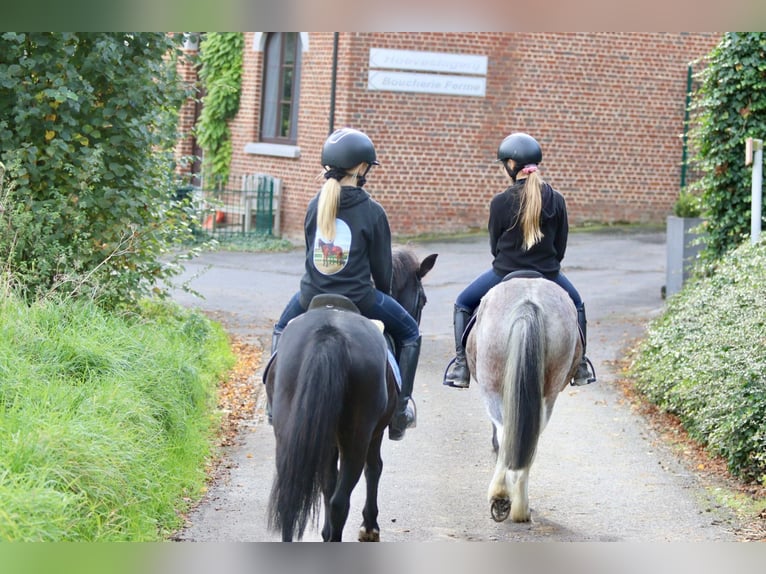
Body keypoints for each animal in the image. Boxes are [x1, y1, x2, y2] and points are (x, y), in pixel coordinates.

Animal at [266, 250, 438, 544]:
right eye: (423, 299)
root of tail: (329, 334)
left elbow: (327, 481)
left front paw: (325, 532)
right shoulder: (374, 432)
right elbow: (374, 468)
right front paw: (369, 527)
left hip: (289, 429)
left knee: (294, 494)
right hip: (357, 436)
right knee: (341, 500)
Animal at [468, 276, 584, 524]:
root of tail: (528, 302)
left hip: (492, 385)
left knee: (506, 434)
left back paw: (504, 498)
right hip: (548, 390)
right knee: (530, 438)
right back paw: (517, 505)